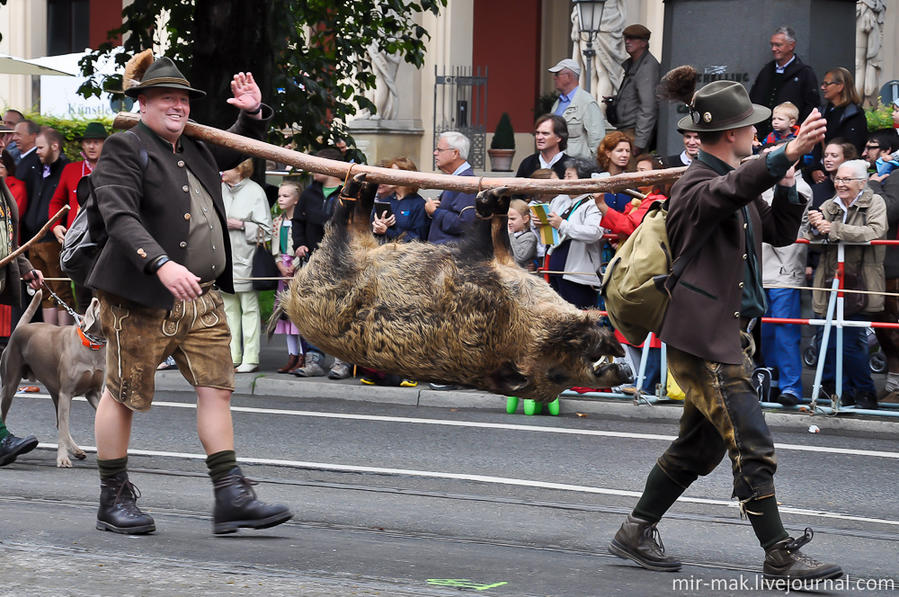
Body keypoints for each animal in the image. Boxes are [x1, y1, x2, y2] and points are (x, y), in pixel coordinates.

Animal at [0, 288, 104, 466]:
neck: (91, 346)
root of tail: (19, 328)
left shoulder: (93, 393)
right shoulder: (66, 393)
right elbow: (63, 427)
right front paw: (62, 459)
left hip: (55, 392)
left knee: (59, 423)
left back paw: (76, 450)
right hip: (10, 385)